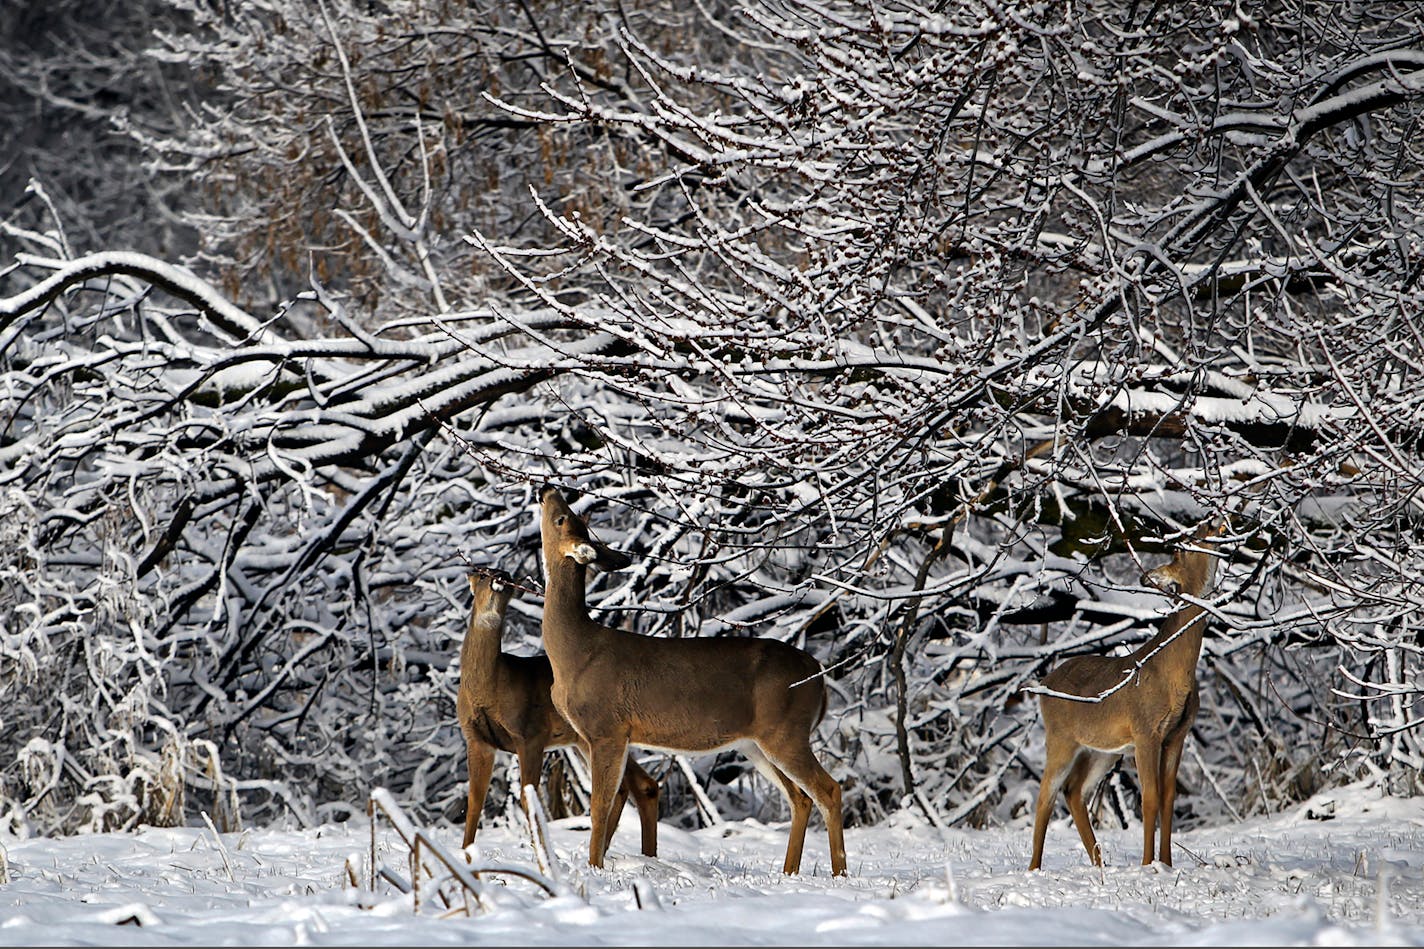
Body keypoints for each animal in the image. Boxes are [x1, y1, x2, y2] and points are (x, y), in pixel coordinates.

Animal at [452, 564, 657, 854]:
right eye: (482, 574)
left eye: (508, 576)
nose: (501, 578)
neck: (489, 688)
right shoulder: (476, 738)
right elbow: (474, 802)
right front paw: (465, 852)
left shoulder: (530, 733)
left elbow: (528, 799)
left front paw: (540, 852)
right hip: (587, 740)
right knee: (637, 785)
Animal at [535, 484, 843, 877]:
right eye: (572, 516)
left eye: (561, 517)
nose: (547, 489)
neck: (574, 652)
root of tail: (818, 676)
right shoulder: (595, 735)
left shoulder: (607, 728)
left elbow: (600, 804)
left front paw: (594, 868)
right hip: (757, 742)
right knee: (800, 796)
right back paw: (789, 872)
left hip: (787, 731)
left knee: (828, 789)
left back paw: (839, 873)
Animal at [1025, 521, 1224, 866]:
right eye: (1180, 548)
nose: (1211, 522)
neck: (1173, 673)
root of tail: (1043, 682)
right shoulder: (1145, 730)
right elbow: (1150, 798)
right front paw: (1147, 865)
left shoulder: (1177, 734)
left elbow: (1168, 797)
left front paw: (1166, 863)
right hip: (1060, 737)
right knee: (1045, 795)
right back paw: (1034, 868)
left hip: (1102, 750)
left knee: (1074, 791)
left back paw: (1099, 863)